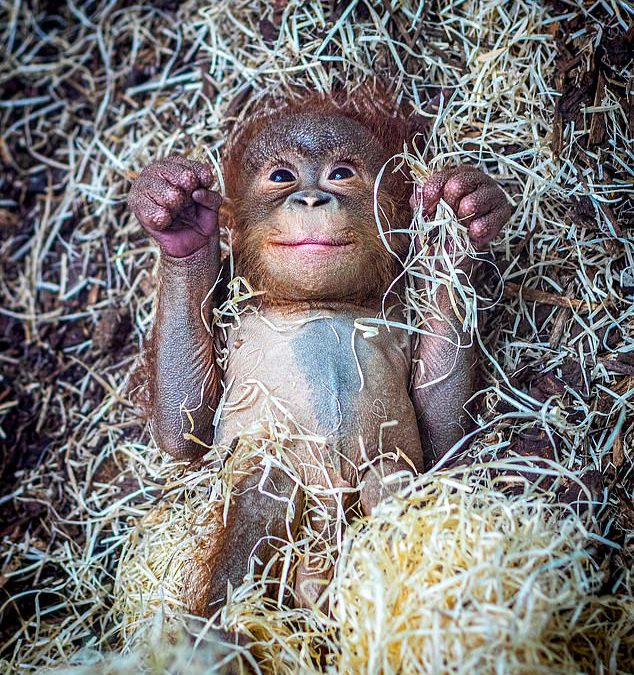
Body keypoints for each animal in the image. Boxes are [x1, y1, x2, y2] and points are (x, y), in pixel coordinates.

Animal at [127, 86, 512, 619]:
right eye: (281, 177)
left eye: (341, 173)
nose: (311, 197)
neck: (316, 301)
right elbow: (183, 432)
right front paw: (178, 218)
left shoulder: (398, 315)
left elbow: (441, 429)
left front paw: (462, 219)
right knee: (271, 481)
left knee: (386, 478)